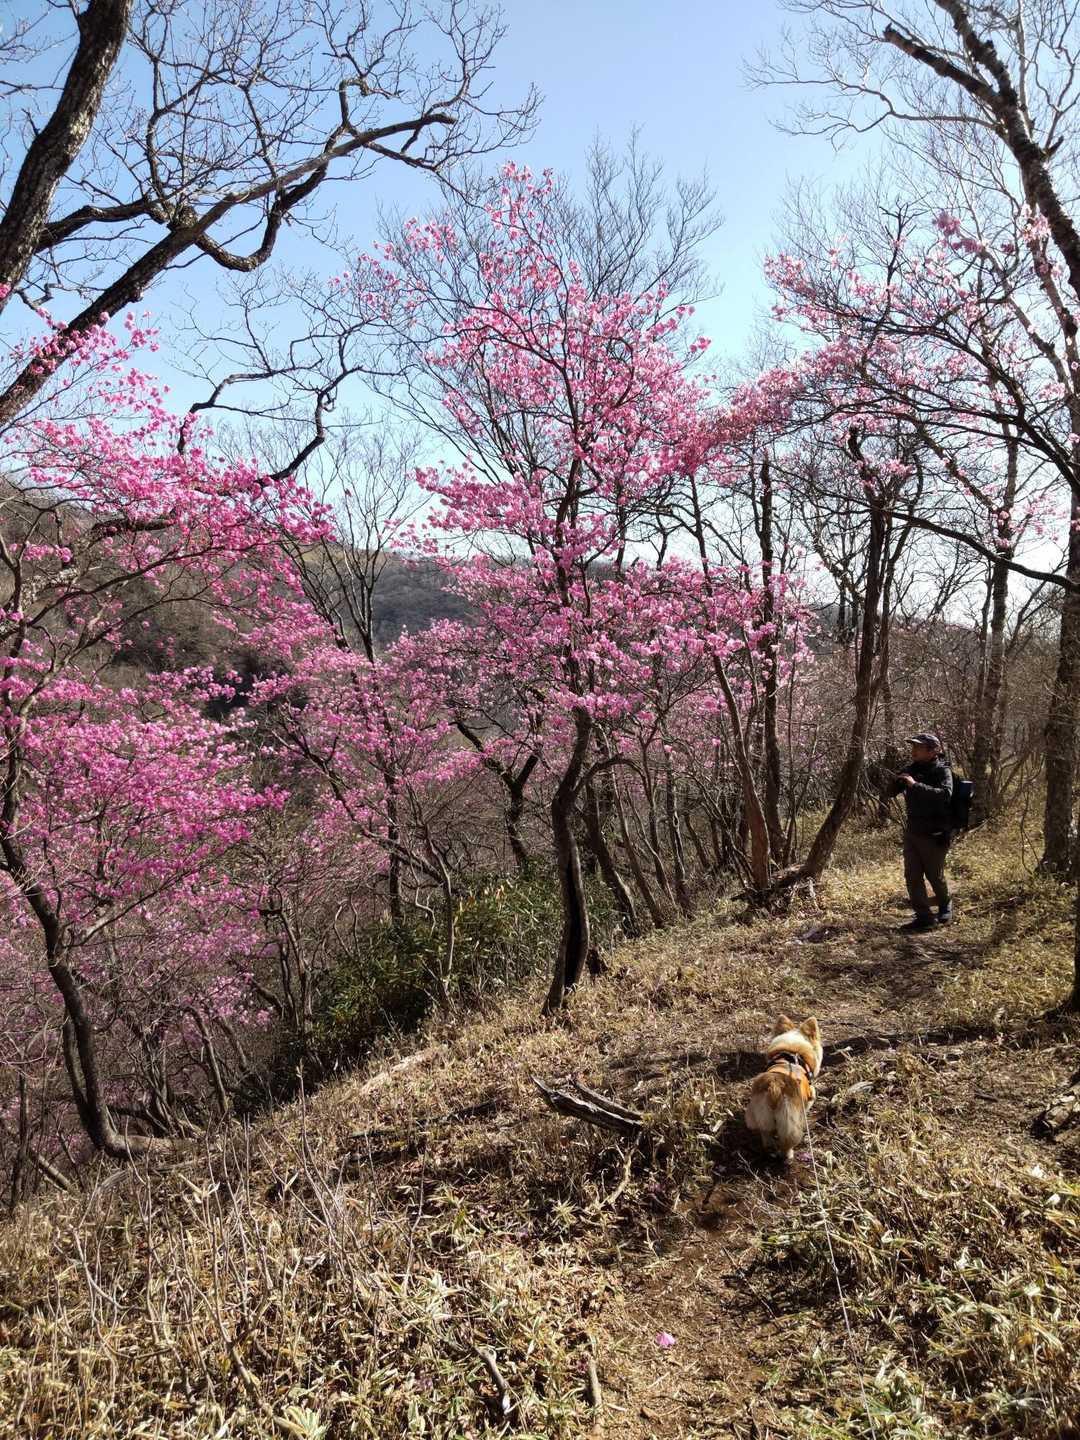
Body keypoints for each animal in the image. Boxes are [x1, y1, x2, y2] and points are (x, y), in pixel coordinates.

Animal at [743, 1014, 823, 1161]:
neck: (792, 1051)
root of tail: (774, 1088)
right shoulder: (810, 1095)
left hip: (760, 1116)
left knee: (766, 1135)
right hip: (790, 1123)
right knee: (786, 1144)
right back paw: (788, 1155)